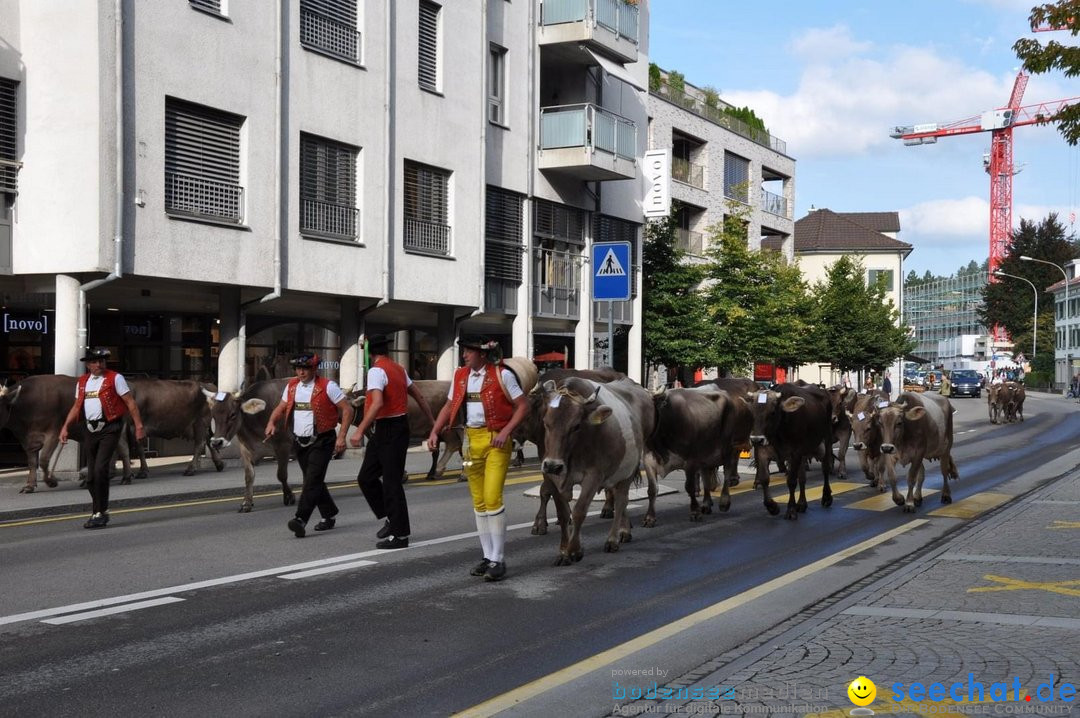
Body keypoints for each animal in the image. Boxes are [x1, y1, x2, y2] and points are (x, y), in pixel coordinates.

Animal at [201, 377, 295, 511]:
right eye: (213, 415)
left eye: (232, 414)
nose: (216, 442)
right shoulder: (245, 449)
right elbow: (249, 476)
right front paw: (247, 503)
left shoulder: (284, 445)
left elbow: (281, 474)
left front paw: (289, 497)